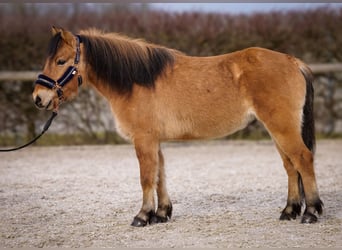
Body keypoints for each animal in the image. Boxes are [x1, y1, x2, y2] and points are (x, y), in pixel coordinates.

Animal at [32, 27, 324, 227]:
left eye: (61, 61)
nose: (38, 98)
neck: (136, 80)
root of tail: (293, 62)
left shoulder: (144, 139)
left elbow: (146, 177)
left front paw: (143, 215)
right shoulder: (154, 141)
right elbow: (160, 175)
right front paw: (161, 213)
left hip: (282, 129)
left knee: (303, 159)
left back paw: (310, 212)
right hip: (277, 130)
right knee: (290, 167)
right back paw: (289, 211)